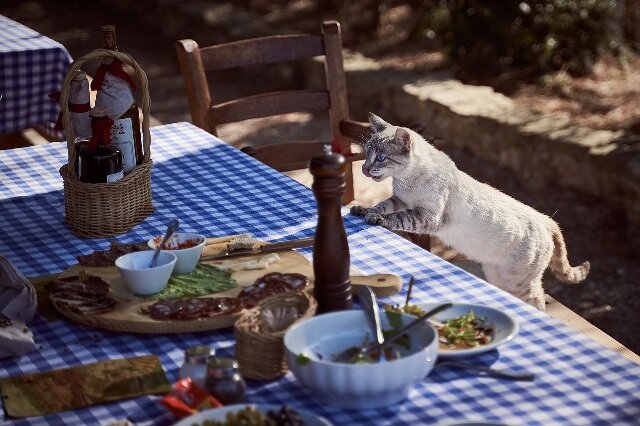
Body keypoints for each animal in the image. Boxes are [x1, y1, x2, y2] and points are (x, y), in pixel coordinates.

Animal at [350, 112, 592, 310]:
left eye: (381, 158)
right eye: (366, 153)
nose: (364, 168)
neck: (405, 180)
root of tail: (544, 219)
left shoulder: (427, 216)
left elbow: (396, 217)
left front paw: (377, 219)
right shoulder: (400, 200)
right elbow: (382, 205)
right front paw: (362, 210)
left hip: (517, 282)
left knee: (538, 301)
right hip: (497, 275)